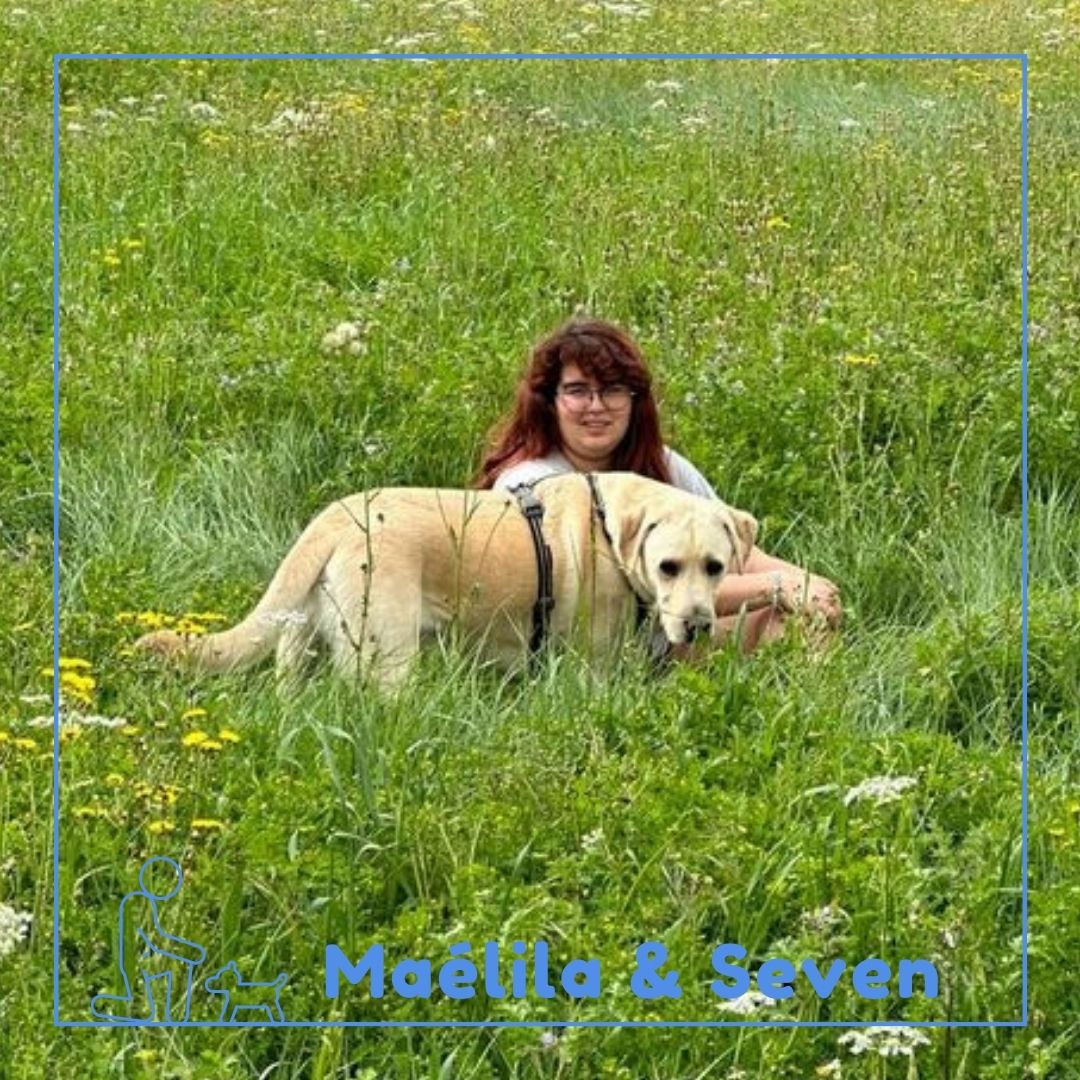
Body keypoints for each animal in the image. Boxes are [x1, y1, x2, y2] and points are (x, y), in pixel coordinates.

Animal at [136, 472, 757, 689]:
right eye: (668, 566)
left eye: (715, 566)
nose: (697, 625)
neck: (609, 525)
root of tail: (332, 518)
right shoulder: (590, 666)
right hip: (387, 657)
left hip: (301, 643)